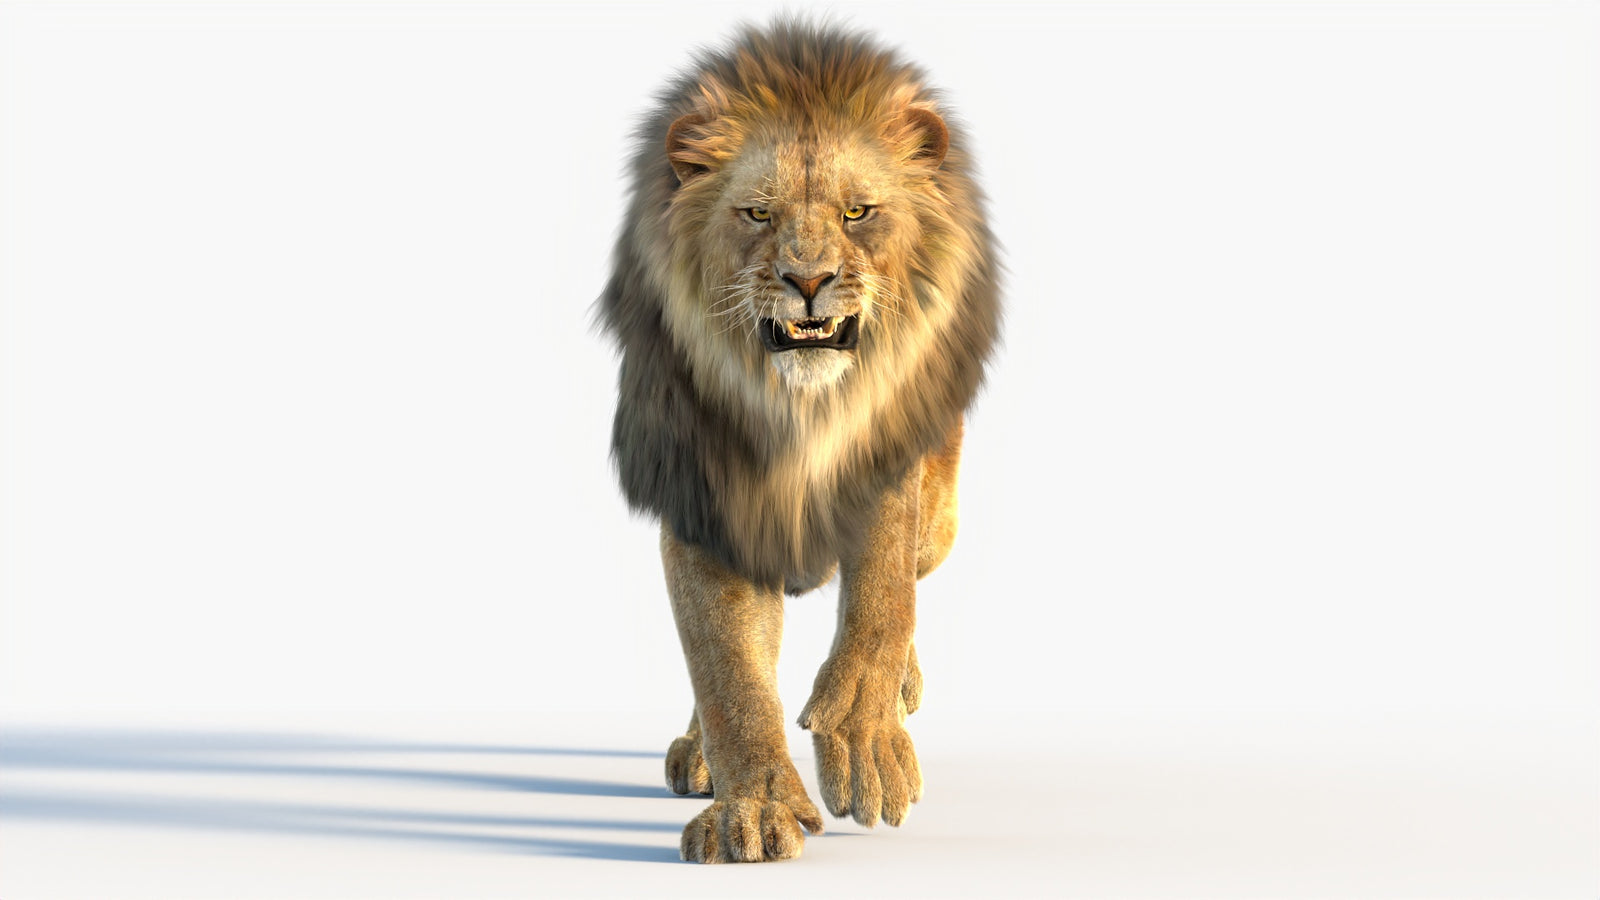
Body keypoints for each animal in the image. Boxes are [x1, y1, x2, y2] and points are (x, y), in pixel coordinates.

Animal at [598, 20, 1000, 863]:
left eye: (857, 213)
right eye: (756, 215)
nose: (807, 281)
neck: (796, 411)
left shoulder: (887, 461)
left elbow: (882, 598)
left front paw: (867, 741)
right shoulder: (703, 495)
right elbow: (727, 665)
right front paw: (751, 812)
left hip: (943, 514)